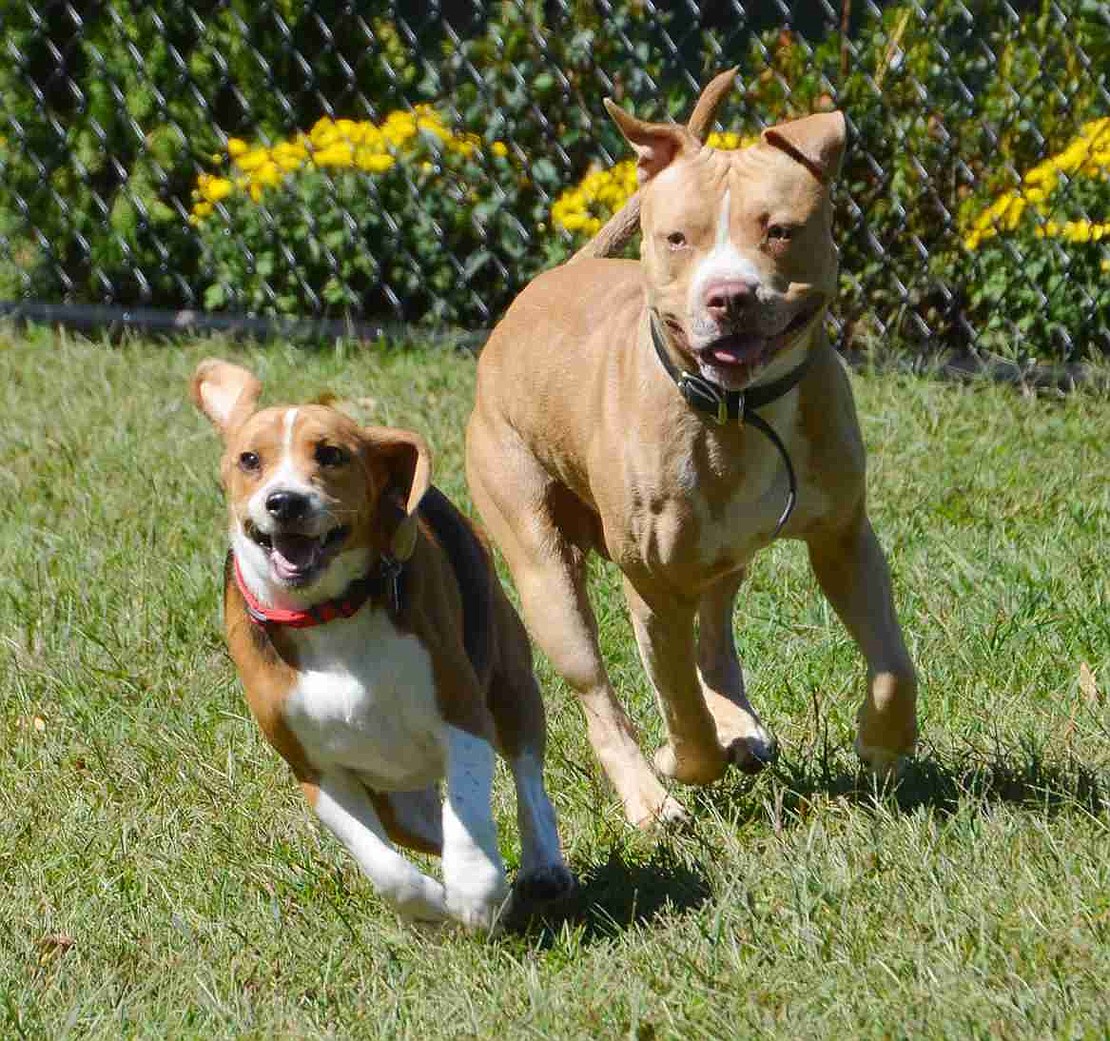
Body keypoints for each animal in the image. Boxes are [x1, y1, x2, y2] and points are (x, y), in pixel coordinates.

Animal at [193, 361, 572, 927]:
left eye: (331, 454)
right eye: (250, 460)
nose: (285, 502)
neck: (329, 615)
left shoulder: (463, 718)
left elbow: (468, 810)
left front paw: (475, 892)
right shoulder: (316, 770)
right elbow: (386, 867)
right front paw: (433, 907)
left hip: (510, 680)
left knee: (527, 779)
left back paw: (542, 866)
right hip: (398, 802)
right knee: (427, 828)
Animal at [463, 83, 914, 825]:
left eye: (779, 230)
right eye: (678, 238)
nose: (729, 295)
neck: (742, 410)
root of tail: (549, 281)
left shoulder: (844, 538)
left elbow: (893, 665)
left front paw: (881, 743)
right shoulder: (653, 585)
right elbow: (682, 714)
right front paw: (679, 760)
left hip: (724, 554)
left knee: (714, 635)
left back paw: (742, 726)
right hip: (543, 568)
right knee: (599, 691)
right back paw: (649, 798)